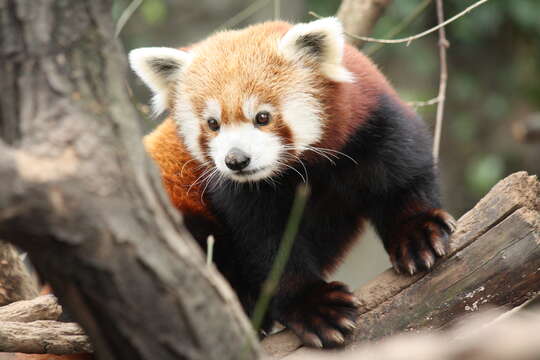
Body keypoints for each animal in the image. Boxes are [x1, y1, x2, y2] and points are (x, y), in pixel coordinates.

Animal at [130, 17, 456, 348]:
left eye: (262, 117)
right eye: (212, 124)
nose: (236, 160)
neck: (303, 170)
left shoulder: (371, 130)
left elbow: (402, 181)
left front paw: (416, 232)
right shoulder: (238, 195)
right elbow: (266, 245)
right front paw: (312, 305)